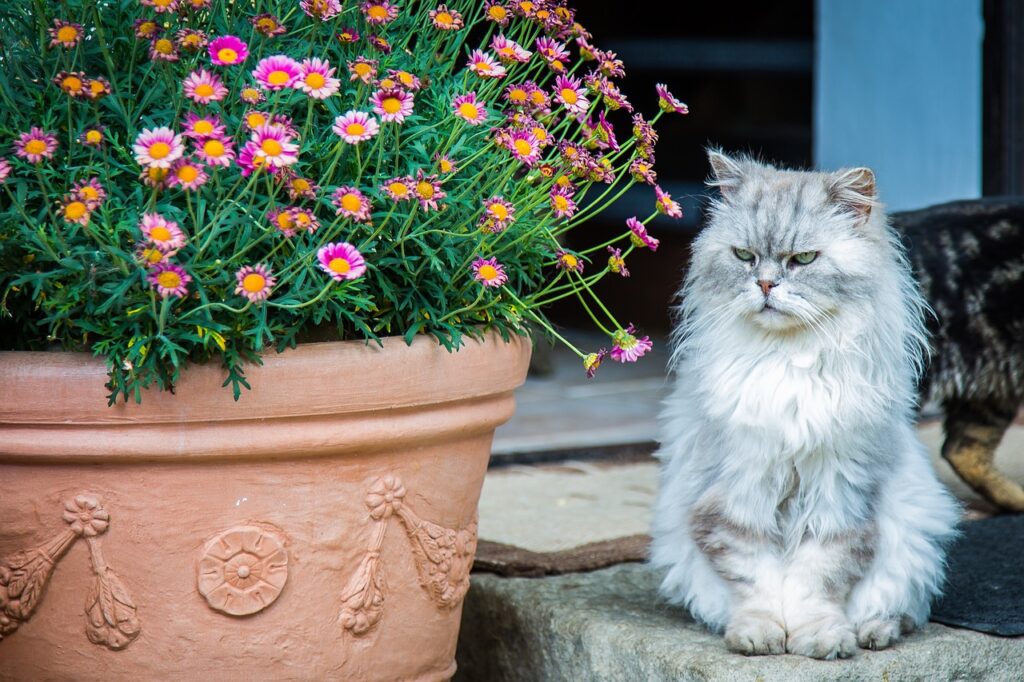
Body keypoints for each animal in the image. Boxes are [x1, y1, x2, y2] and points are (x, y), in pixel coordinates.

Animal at [647, 150, 958, 659]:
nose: (765, 284)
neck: (788, 360)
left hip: (913, 536)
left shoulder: (838, 495)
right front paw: (761, 635)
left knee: (899, 610)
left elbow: (818, 580)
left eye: (804, 259)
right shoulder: (739, 492)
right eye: (744, 256)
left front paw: (820, 638)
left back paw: (872, 633)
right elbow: (756, 580)